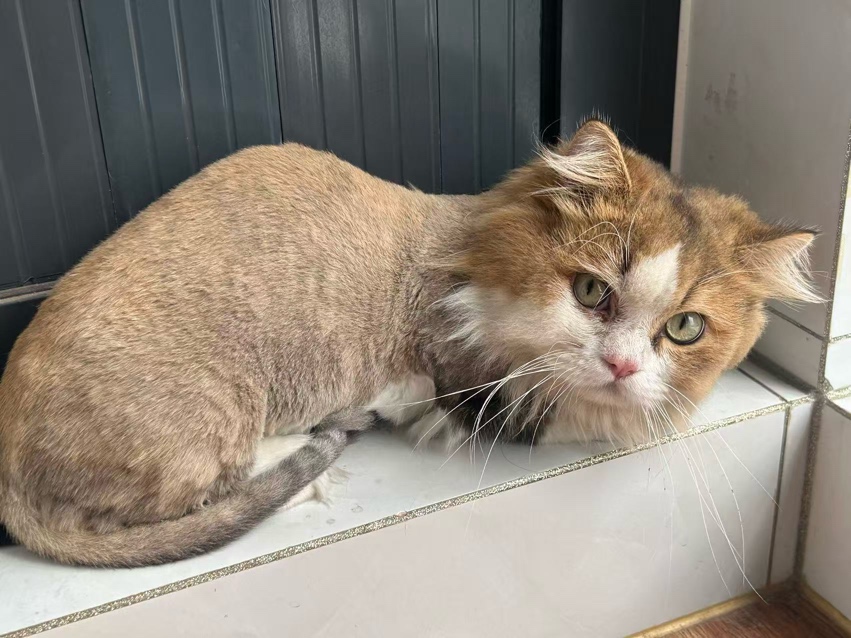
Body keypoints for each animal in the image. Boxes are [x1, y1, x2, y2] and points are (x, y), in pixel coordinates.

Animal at [0, 119, 817, 567]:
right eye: (591, 292)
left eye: (684, 327)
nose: (620, 364)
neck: (468, 249)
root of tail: (12, 482)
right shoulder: (473, 389)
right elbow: (576, 416)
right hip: (215, 407)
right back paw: (309, 458)